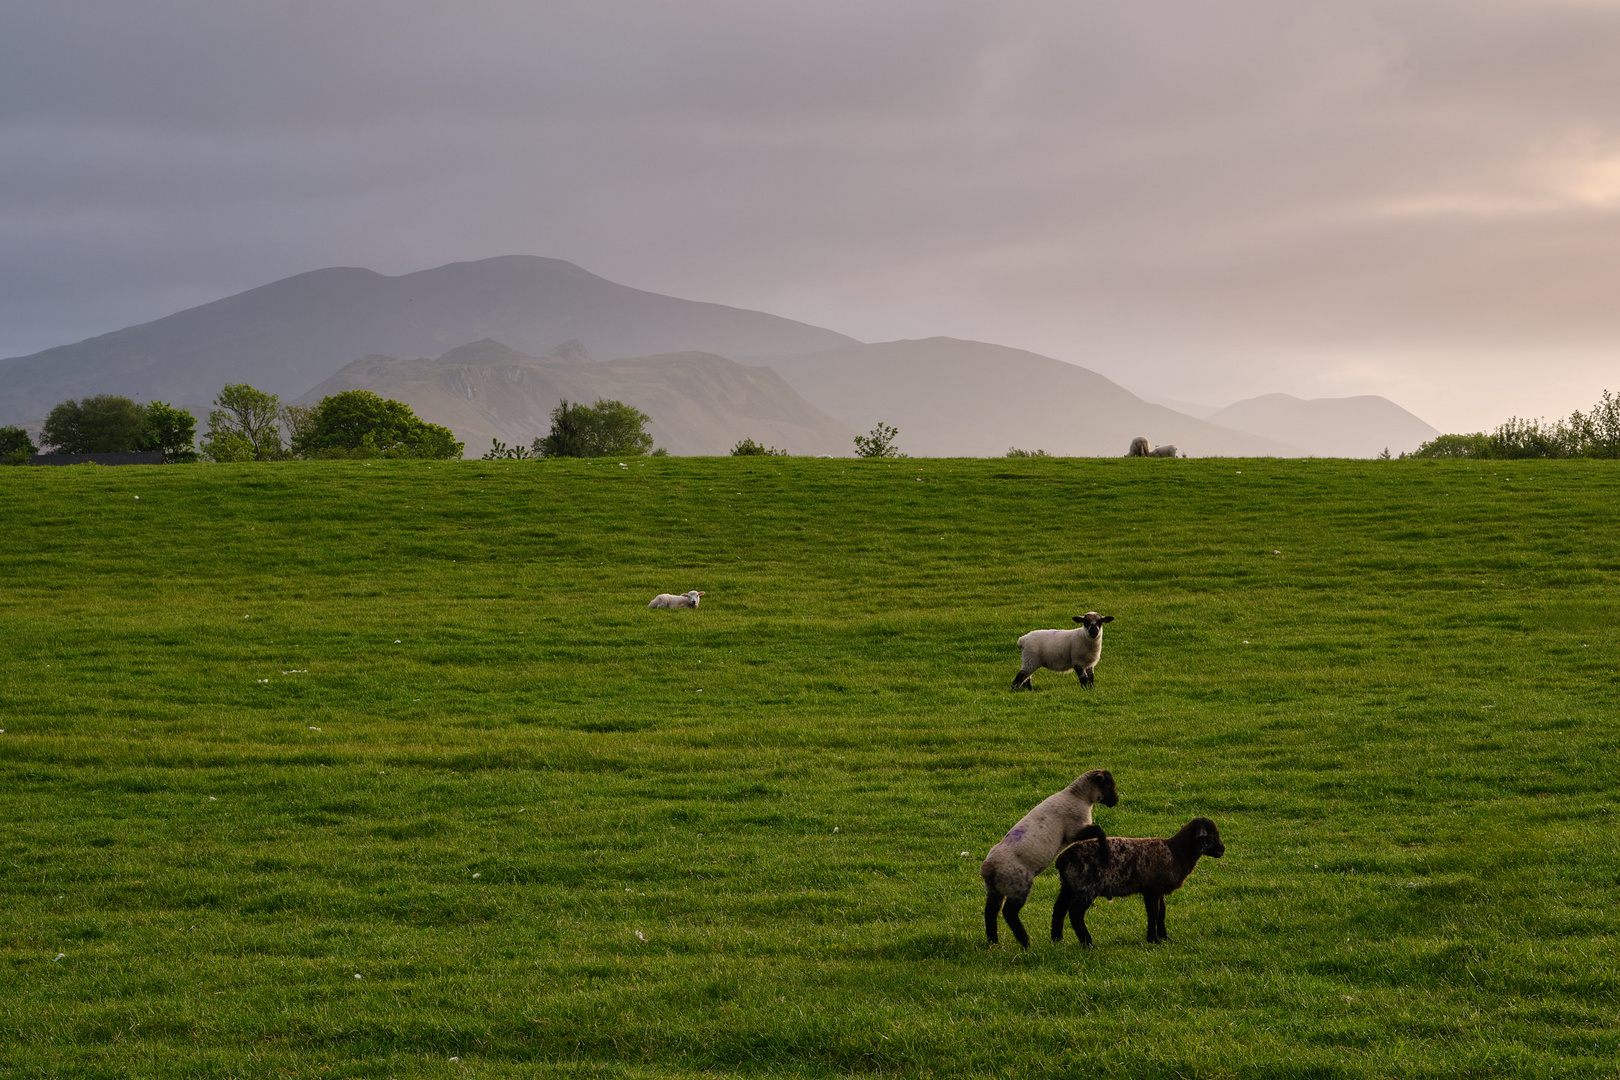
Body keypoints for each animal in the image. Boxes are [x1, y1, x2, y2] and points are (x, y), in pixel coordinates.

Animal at [978, 767, 1121, 945]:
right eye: (1109, 785)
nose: (1115, 801)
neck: (1078, 796)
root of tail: (987, 869)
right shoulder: (1074, 829)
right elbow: (1099, 830)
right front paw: (1104, 850)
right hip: (1018, 885)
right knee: (1009, 912)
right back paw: (1025, 941)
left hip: (994, 890)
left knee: (990, 912)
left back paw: (994, 942)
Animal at [1049, 819, 1224, 945]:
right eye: (1211, 836)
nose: (1222, 850)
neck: (1176, 852)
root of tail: (1064, 858)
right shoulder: (1152, 889)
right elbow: (1153, 914)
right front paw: (1153, 940)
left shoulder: (1159, 890)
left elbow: (1162, 913)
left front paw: (1165, 938)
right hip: (1086, 887)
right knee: (1075, 913)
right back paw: (1088, 943)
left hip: (1068, 886)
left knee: (1059, 909)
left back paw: (1057, 939)